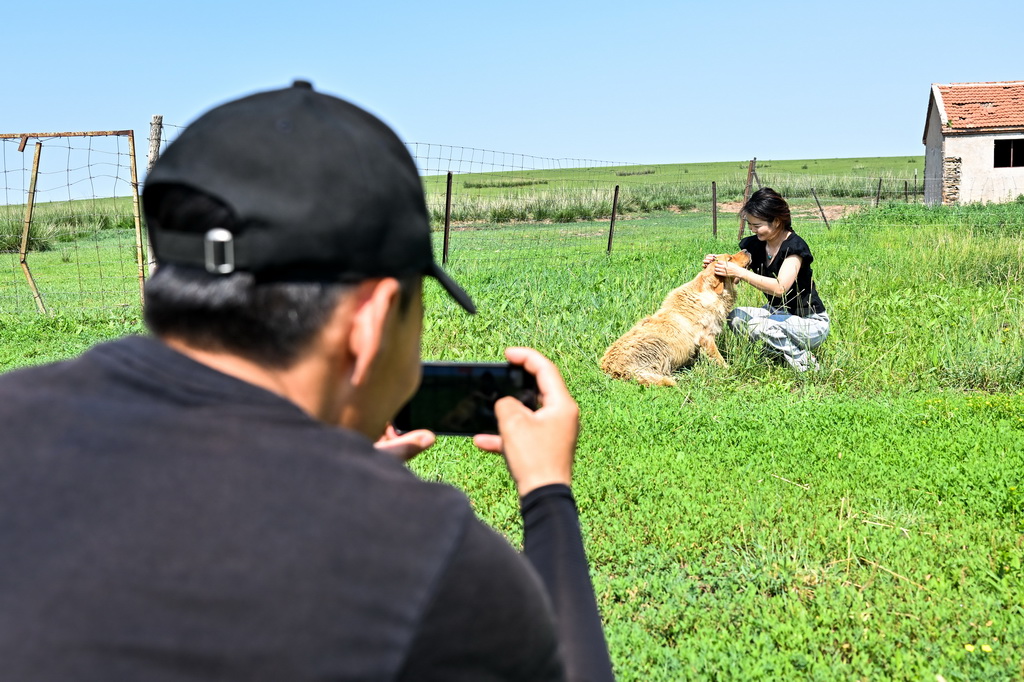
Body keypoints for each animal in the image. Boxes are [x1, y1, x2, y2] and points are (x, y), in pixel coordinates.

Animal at [598, 248, 753, 387]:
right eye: (729, 258)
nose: (746, 250)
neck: (710, 292)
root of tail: (611, 368)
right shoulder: (706, 338)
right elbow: (719, 358)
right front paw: (729, 369)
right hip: (658, 345)